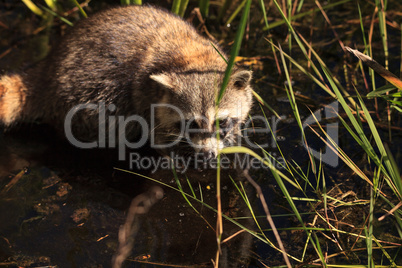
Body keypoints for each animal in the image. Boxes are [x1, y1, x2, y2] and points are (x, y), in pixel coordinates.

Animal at [0, 5, 251, 159]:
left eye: (221, 121)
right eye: (191, 123)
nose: (206, 155)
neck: (193, 58)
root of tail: (47, 66)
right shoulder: (144, 95)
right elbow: (157, 136)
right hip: (80, 94)